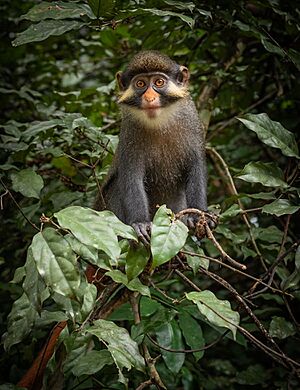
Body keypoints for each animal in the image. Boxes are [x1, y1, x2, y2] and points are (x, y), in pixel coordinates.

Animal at [96, 51, 209, 241]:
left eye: (159, 82)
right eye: (140, 83)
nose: (149, 98)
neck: (160, 122)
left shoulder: (191, 119)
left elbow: (196, 166)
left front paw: (198, 216)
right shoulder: (130, 130)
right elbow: (131, 176)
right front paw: (140, 223)